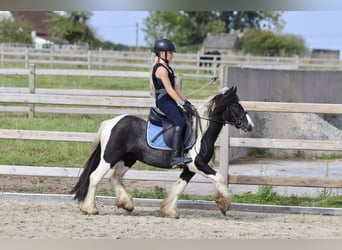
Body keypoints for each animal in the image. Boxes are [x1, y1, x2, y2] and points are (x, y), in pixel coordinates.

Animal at [71, 86, 252, 219]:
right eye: (236, 106)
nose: (250, 125)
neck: (201, 133)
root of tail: (111, 122)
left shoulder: (189, 169)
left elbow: (179, 187)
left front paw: (168, 211)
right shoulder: (198, 164)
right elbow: (220, 178)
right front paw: (224, 203)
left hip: (127, 159)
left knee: (115, 177)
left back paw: (126, 204)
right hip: (109, 157)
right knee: (95, 177)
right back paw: (90, 209)